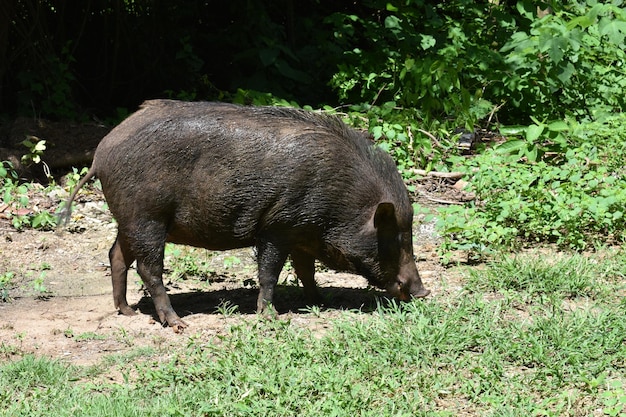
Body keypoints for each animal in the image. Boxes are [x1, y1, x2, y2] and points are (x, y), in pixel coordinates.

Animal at [66, 99, 432, 330]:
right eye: (394, 236)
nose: (423, 292)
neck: (342, 201)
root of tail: (101, 153)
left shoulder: (301, 232)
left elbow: (306, 271)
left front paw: (319, 300)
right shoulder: (277, 226)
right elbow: (270, 272)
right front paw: (272, 317)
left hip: (129, 221)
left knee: (116, 255)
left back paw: (126, 312)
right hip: (147, 218)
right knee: (148, 268)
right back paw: (178, 324)